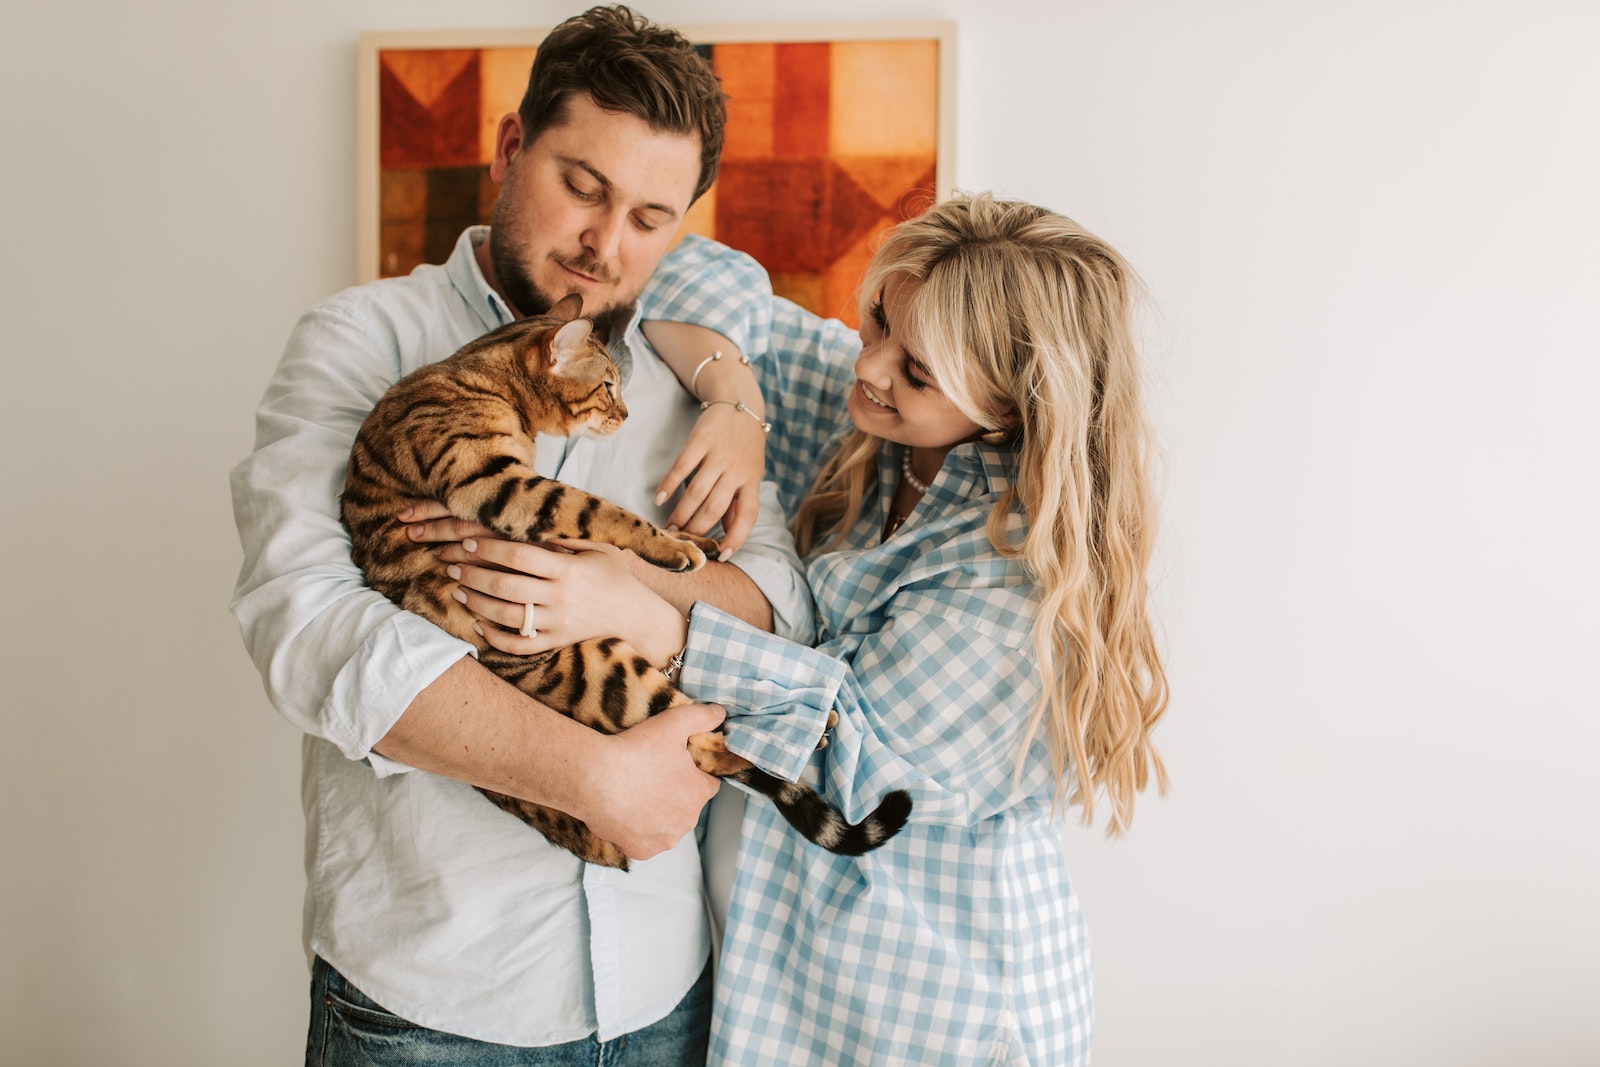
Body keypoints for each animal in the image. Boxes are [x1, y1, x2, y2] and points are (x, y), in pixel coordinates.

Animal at [337, 292, 915, 870]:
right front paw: (674, 548)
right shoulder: (495, 484)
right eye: (608, 387)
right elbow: (599, 509)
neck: (484, 378)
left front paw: (696, 540)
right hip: (607, 673)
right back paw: (794, 735)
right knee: (701, 745)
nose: (626, 414)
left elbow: (611, 510)